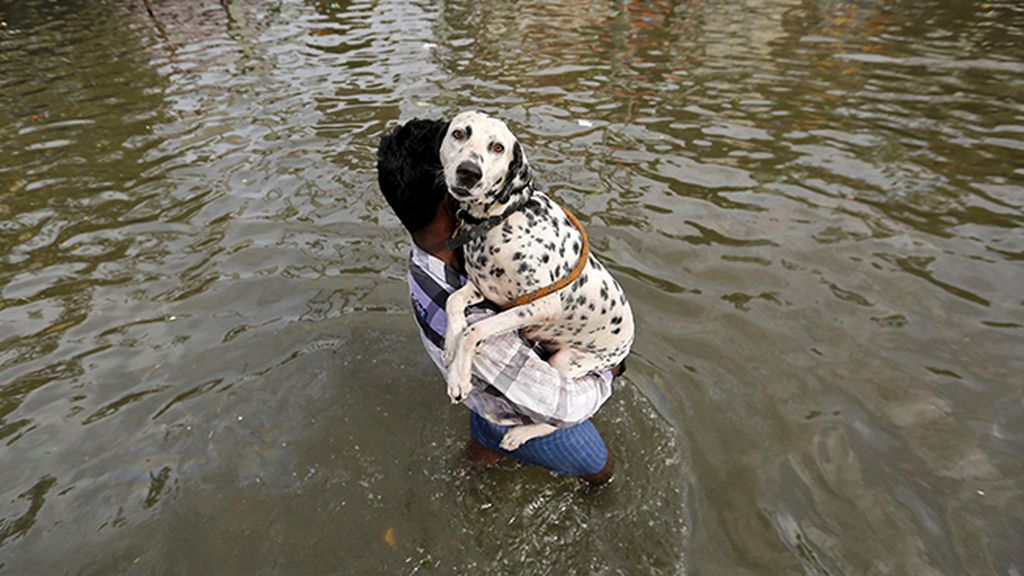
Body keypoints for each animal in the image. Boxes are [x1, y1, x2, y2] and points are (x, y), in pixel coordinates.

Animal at [438, 108, 630, 448]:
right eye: (459, 133)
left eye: (497, 147)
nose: (468, 171)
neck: (501, 218)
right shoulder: (483, 289)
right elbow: (452, 301)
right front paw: (450, 344)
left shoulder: (538, 306)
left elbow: (476, 330)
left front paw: (459, 377)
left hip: (566, 361)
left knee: (562, 420)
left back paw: (520, 433)